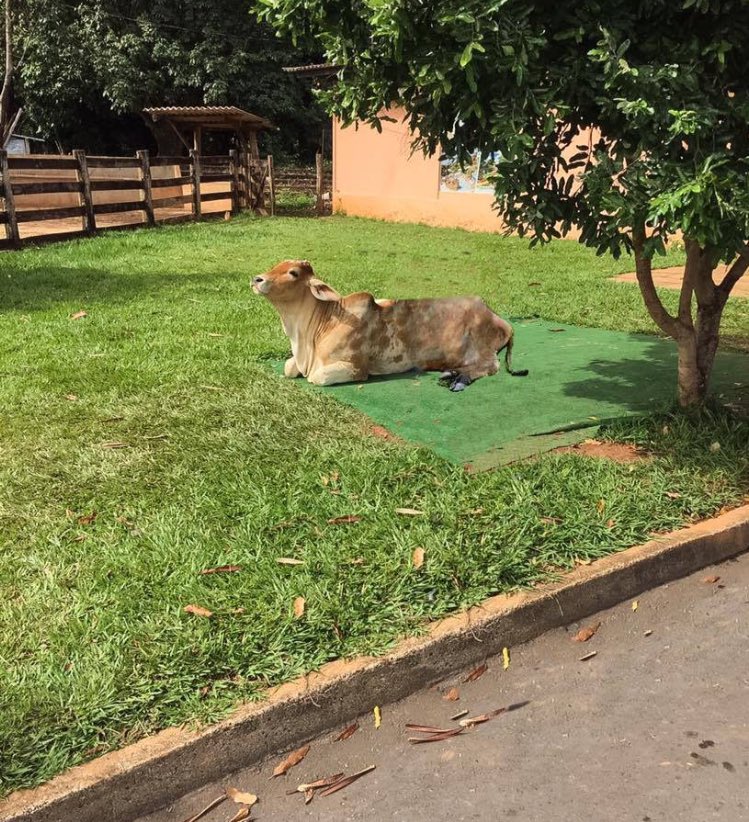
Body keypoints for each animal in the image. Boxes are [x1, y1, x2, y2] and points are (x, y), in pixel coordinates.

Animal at [252, 260, 528, 391]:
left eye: (293, 273)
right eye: (277, 264)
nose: (257, 279)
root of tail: (497, 316)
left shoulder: (355, 368)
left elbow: (315, 377)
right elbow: (289, 368)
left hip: (482, 351)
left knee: (490, 367)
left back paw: (459, 379)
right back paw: (450, 374)